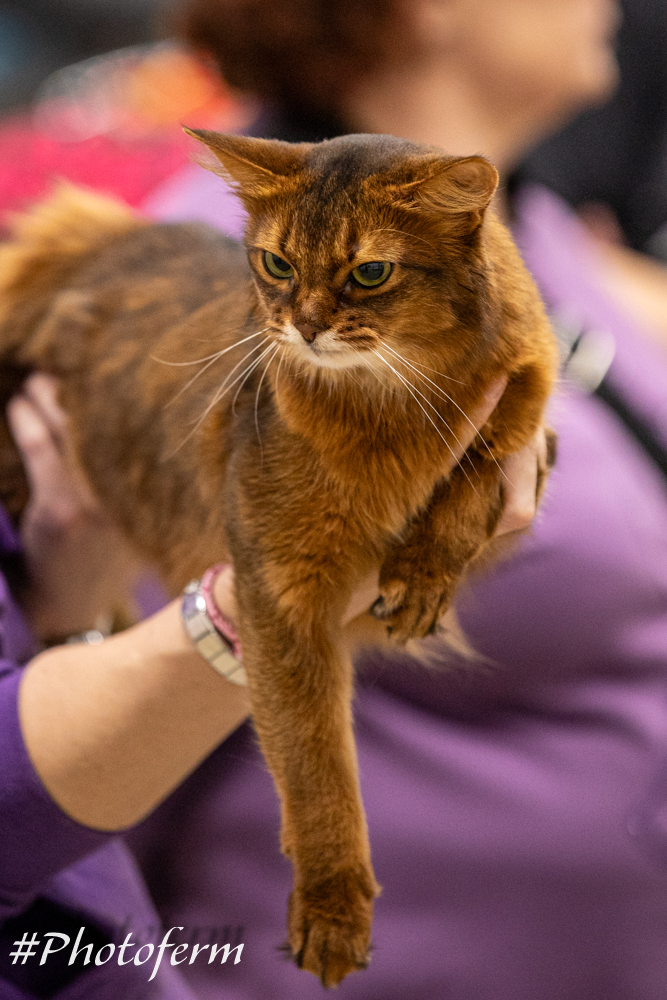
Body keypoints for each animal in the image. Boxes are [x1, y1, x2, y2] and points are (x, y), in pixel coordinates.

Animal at [0, 131, 558, 988]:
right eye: (276, 264)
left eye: (370, 272)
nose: (304, 326)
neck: (387, 410)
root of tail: (95, 240)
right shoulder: (279, 589)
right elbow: (314, 764)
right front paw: (331, 908)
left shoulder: (529, 421)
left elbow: (475, 480)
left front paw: (422, 575)